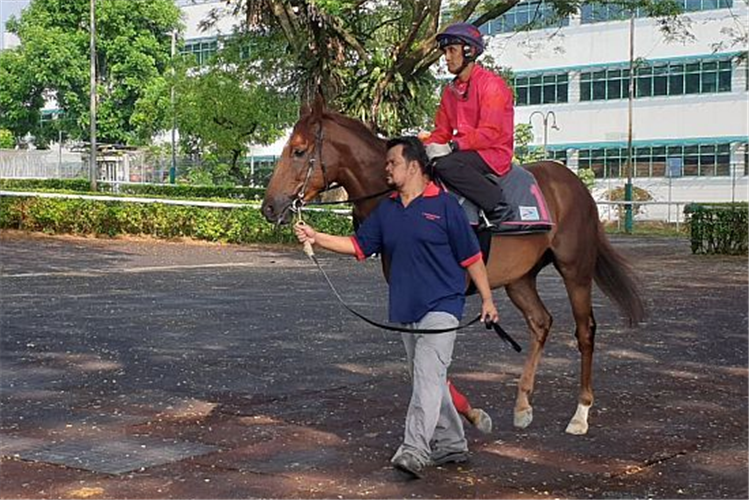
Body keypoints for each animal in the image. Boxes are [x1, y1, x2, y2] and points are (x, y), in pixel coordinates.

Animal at [262, 102, 644, 434]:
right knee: (540, 323)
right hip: (520, 278)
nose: (269, 206)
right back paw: (523, 404)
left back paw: (581, 413)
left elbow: (432, 356)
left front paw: (469, 415)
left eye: (298, 151)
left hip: (575, 268)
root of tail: (573, 182)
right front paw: (470, 413)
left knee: (585, 331)